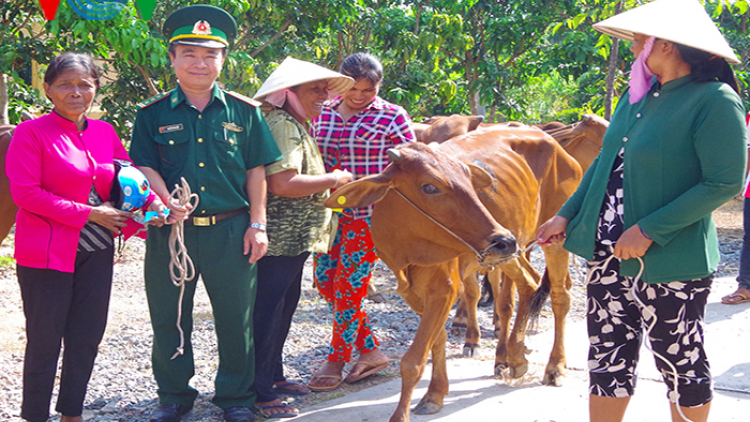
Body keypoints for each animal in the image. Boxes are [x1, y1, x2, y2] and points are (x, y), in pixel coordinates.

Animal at [328, 129, 580, 422]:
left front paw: (401, 415)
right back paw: (515, 358)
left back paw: (554, 367)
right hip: (509, 252)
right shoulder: (414, 292)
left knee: (560, 297)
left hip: (552, 238)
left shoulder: (444, 288)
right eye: (429, 187)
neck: (406, 252)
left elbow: (413, 361)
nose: (503, 240)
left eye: (469, 181)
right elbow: (438, 341)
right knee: (529, 284)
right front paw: (435, 394)